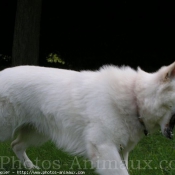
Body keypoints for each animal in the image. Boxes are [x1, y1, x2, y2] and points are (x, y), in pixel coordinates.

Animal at [0, 62, 175, 174]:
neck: (135, 97)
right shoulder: (103, 147)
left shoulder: (120, 149)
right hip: (8, 129)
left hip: (37, 133)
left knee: (16, 145)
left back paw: (32, 168)